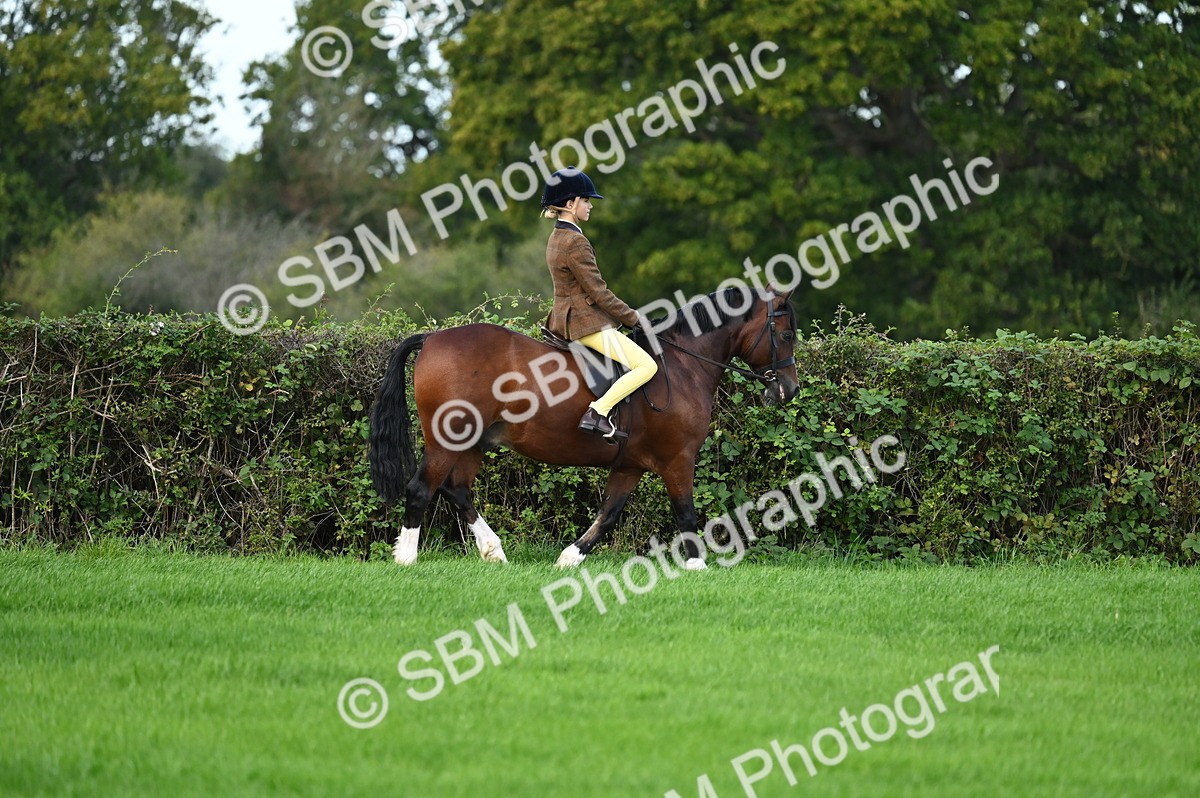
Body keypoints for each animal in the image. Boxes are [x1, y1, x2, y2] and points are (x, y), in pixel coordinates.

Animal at [368, 285, 800, 569]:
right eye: (786, 334)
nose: (790, 389)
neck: (682, 366)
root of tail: (432, 339)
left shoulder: (629, 466)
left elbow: (608, 515)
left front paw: (569, 558)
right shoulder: (678, 459)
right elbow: (686, 514)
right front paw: (697, 568)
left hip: (473, 442)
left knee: (457, 489)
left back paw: (494, 552)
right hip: (447, 440)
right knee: (421, 488)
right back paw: (406, 559)